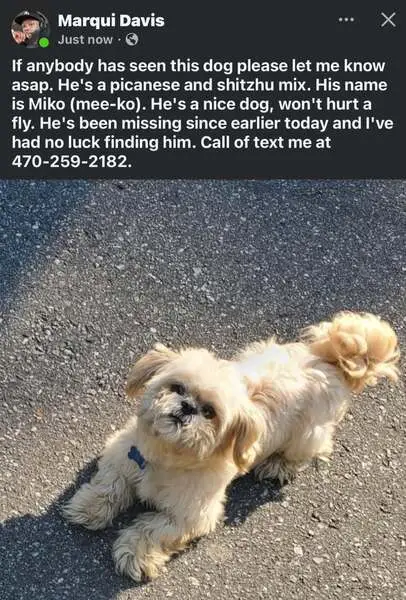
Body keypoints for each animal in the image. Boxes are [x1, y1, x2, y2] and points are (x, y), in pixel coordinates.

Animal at [64, 311, 399, 581]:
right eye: (177, 387)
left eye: (210, 412)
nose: (187, 407)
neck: (167, 458)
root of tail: (330, 362)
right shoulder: (121, 456)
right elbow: (109, 485)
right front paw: (89, 506)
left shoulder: (191, 516)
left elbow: (153, 530)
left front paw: (135, 554)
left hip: (307, 436)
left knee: (309, 452)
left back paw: (278, 465)